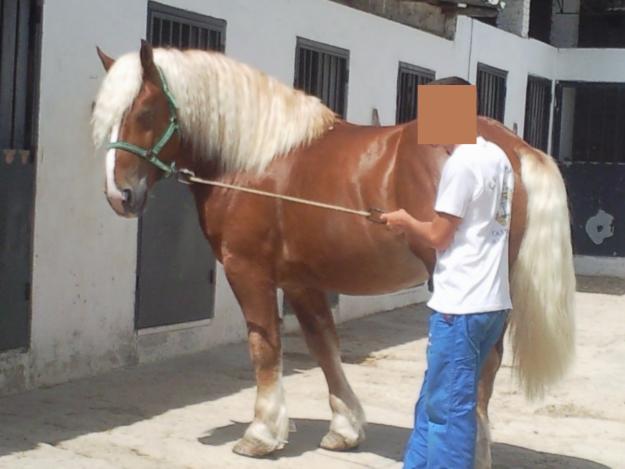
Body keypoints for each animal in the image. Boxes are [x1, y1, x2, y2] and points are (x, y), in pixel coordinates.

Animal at [92, 42, 576, 466]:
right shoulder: (301, 280)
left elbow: (264, 347)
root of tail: (509, 145)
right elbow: (324, 346)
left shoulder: (248, 272)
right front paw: (345, 429)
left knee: (479, 367)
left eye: (145, 113)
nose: (120, 195)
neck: (254, 161)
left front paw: (261, 434)